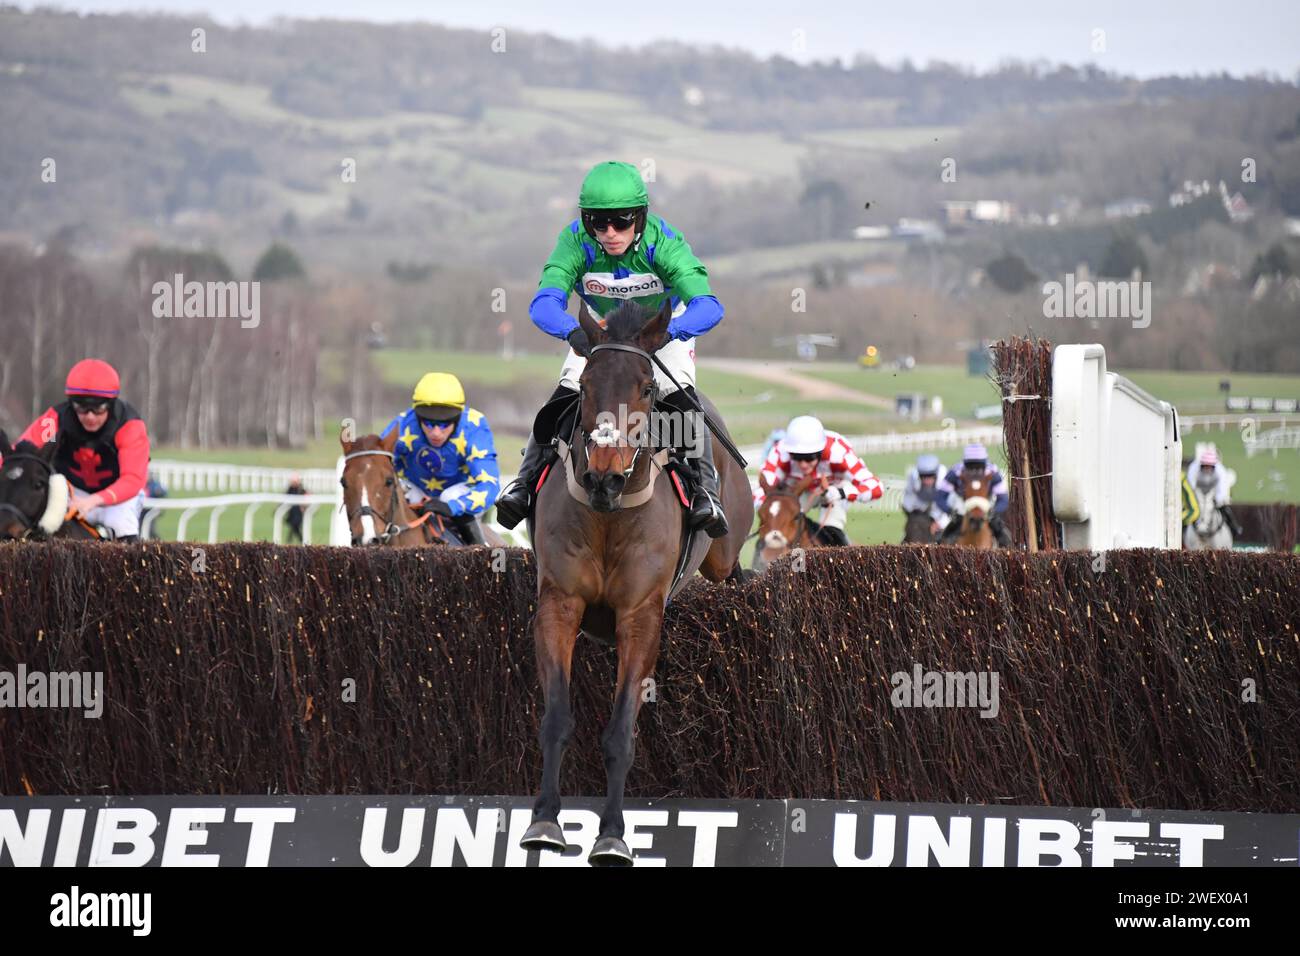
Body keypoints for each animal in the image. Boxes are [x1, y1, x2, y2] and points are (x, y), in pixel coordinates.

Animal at [522, 300, 759, 868]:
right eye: (586, 385)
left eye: (647, 388)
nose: (604, 477)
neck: (609, 513)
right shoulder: (559, 605)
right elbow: (556, 719)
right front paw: (545, 822)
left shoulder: (641, 616)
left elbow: (620, 733)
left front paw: (612, 835)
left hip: (723, 555)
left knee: (732, 572)